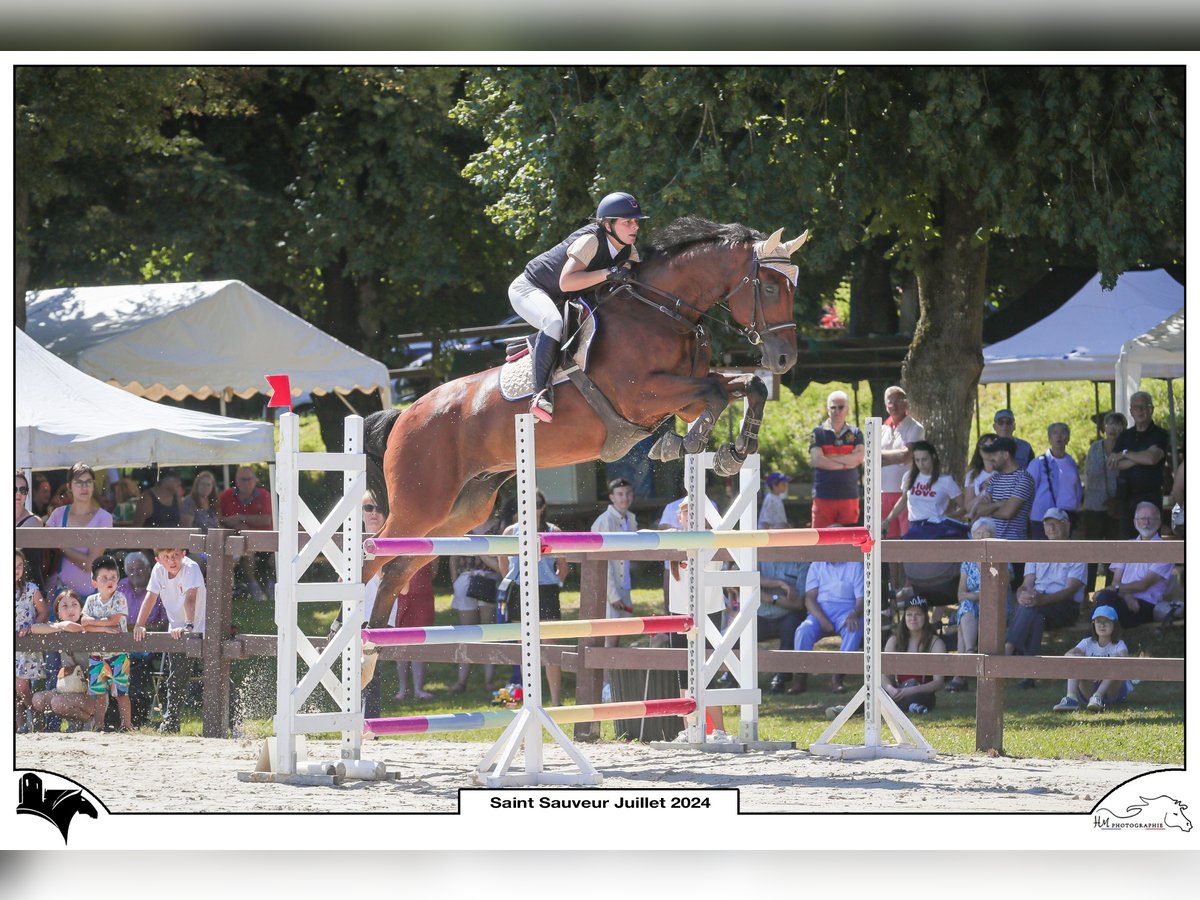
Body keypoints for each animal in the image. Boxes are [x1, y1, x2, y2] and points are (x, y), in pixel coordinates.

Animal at [362, 218, 806, 628]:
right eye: (769, 287)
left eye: (792, 288)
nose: (784, 359)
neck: (663, 311)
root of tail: (406, 413)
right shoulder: (644, 394)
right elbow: (715, 394)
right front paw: (685, 445)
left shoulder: (683, 400)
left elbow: (747, 387)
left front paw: (736, 451)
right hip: (421, 505)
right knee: (373, 556)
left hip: (462, 508)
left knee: (395, 569)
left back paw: (371, 651)